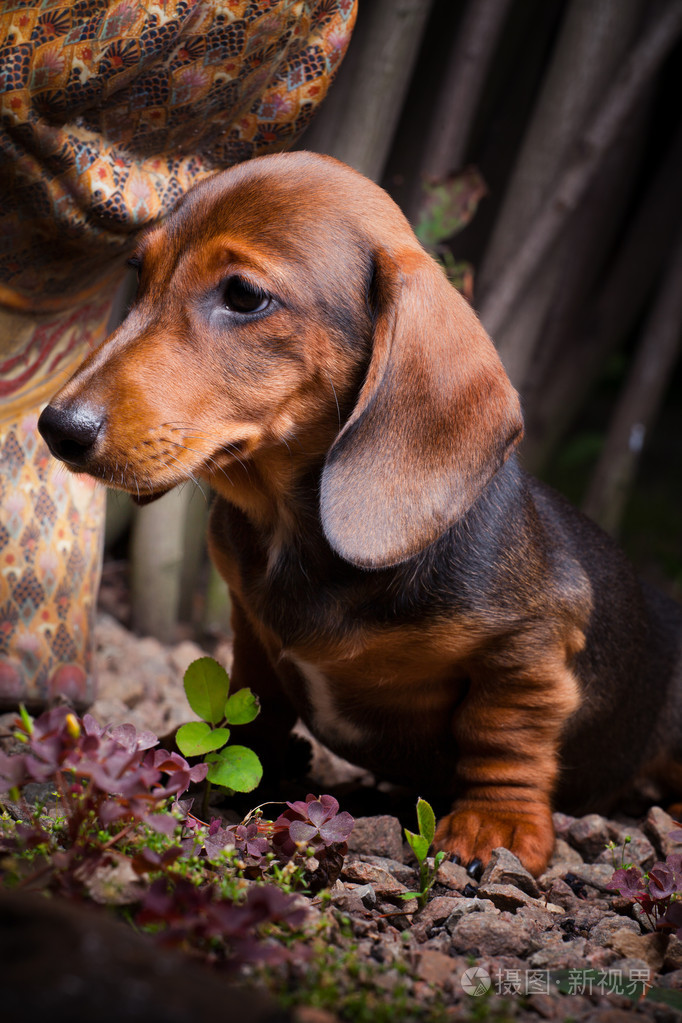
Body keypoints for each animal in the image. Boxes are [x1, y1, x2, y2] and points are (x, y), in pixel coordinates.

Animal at [38, 149, 682, 871]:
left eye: (244, 296)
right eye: (138, 273)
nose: (57, 427)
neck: (296, 530)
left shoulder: (530, 641)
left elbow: (503, 730)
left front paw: (497, 821)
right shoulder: (250, 627)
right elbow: (253, 700)